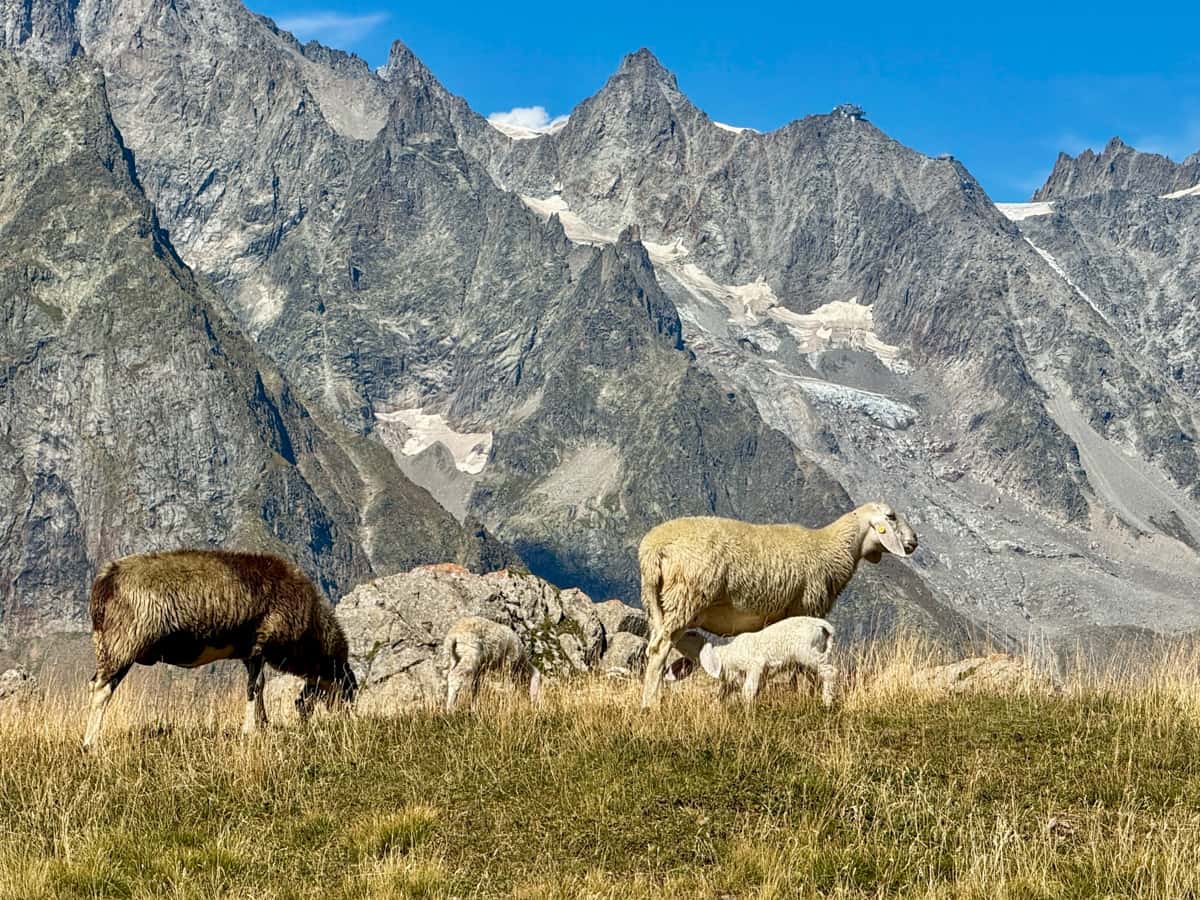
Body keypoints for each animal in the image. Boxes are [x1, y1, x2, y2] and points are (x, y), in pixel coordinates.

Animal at [83, 549, 357, 748]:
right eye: (348, 689)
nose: (349, 721)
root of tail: (107, 579)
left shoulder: (250, 653)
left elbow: (258, 687)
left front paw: (263, 724)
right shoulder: (261, 644)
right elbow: (255, 687)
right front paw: (250, 730)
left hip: (105, 643)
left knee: (94, 684)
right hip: (124, 642)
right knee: (102, 690)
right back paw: (91, 743)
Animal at [694, 616, 839, 707]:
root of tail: (822, 625)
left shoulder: (755, 665)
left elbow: (748, 690)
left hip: (808, 654)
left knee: (830, 672)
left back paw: (827, 702)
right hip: (809, 659)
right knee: (817, 678)